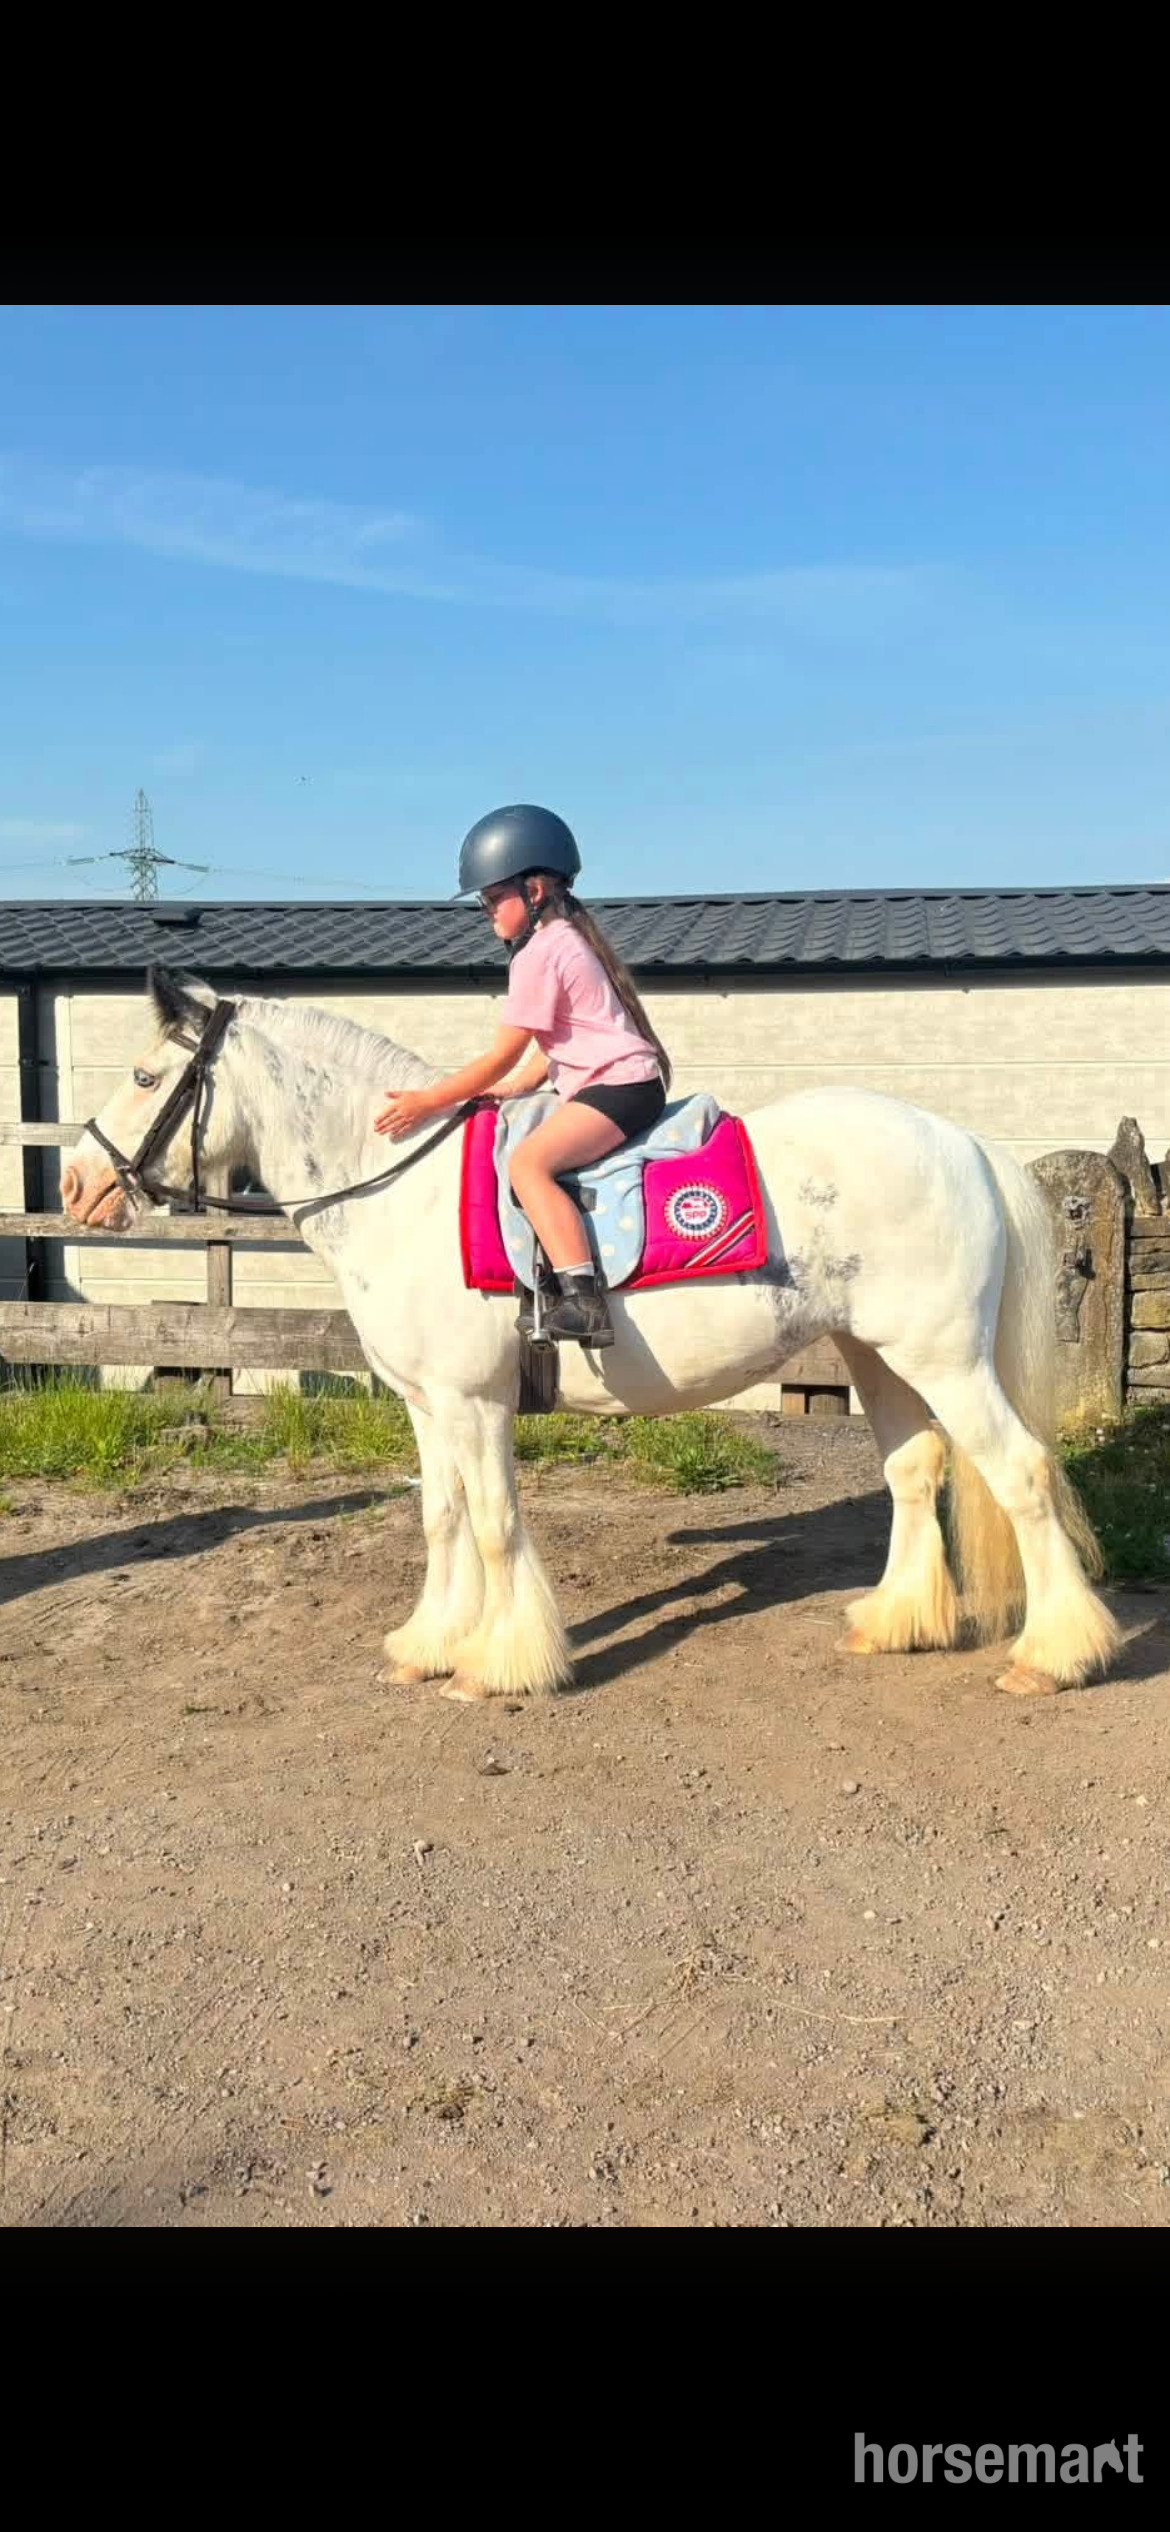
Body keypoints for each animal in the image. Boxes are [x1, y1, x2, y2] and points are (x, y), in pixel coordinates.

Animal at [58, 968, 1120, 1704]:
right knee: (915, 1471)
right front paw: (429, 1644)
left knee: (1021, 1474)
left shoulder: (477, 1403)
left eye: (146, 1075)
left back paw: (1053, 1655)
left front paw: (500, 1664)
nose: (76, 1184)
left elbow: (493, 1523)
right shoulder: (428, 1406)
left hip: (944, 1356)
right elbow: (440, 1517)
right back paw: (894, 1622)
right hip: (880, 1354)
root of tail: (961, 1140)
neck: (402, 1189)